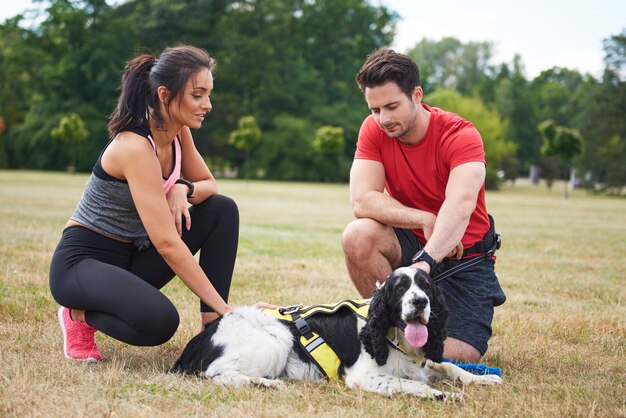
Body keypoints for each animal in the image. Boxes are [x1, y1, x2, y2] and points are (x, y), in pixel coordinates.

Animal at [168, 266, 500, 400]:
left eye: (427, 287)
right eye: (399, 287)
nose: (419, 302)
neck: (388, 334)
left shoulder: (426, 357)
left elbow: (448, 365)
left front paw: (482, 378)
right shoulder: (363, 376)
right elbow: (406, 382)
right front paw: (441, 394)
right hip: (278, 338)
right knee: (218, 373)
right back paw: (267, 383)